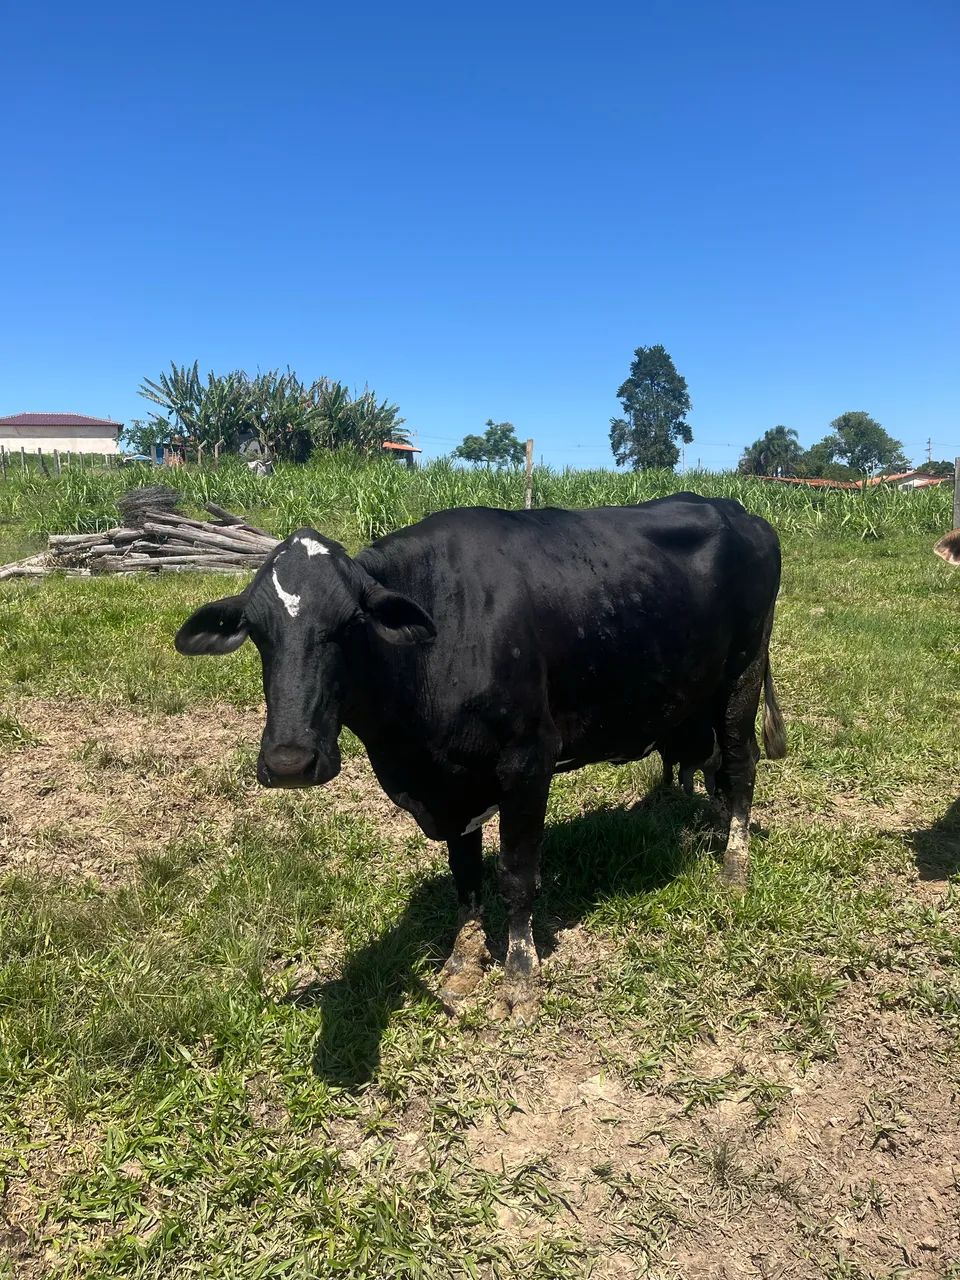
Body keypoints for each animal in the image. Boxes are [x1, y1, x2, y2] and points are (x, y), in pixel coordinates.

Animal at [175, 494, 786, 1022]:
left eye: (350, 624)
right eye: (256, 631)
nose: (289, 762)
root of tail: (737, 509)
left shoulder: (528, 761)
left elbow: (516, 874)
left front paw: (520, 975)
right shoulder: (451, 785)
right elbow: (465, 874)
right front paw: (464, 958)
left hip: (743, 672)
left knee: (741, 762)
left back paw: (735, 863)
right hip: (688, 696)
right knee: (704, 761)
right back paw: (700, 821)